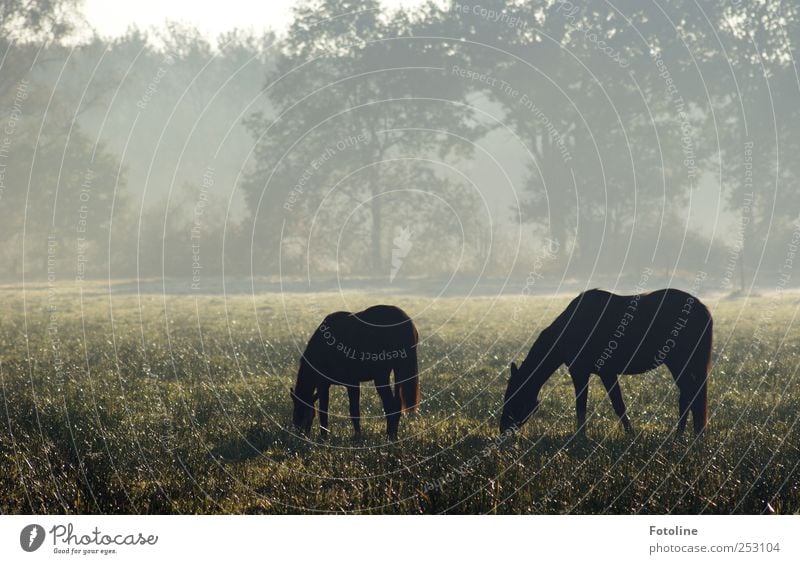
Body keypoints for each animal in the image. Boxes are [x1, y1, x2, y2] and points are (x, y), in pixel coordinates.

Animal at [292, 304, 418, 440]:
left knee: (391, 405)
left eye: (301, 411)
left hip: (383, 375)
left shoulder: (338, 383)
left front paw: (332, 437)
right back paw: (393, 435)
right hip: (395, 372)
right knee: (396, 405)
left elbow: (342, 411)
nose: (300, 434)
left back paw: (390, 436)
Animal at [500, 288, 712, 438]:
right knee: (690, 396)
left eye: (513, 397)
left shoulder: (582, 371)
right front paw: (630, 434)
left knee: (688, 396)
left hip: (679, 362)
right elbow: (617, 404)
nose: (502, 429)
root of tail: (703, 310)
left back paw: (681, 436)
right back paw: (692, 435)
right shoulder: (605, 373)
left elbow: (584, 406)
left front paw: (581, 438)